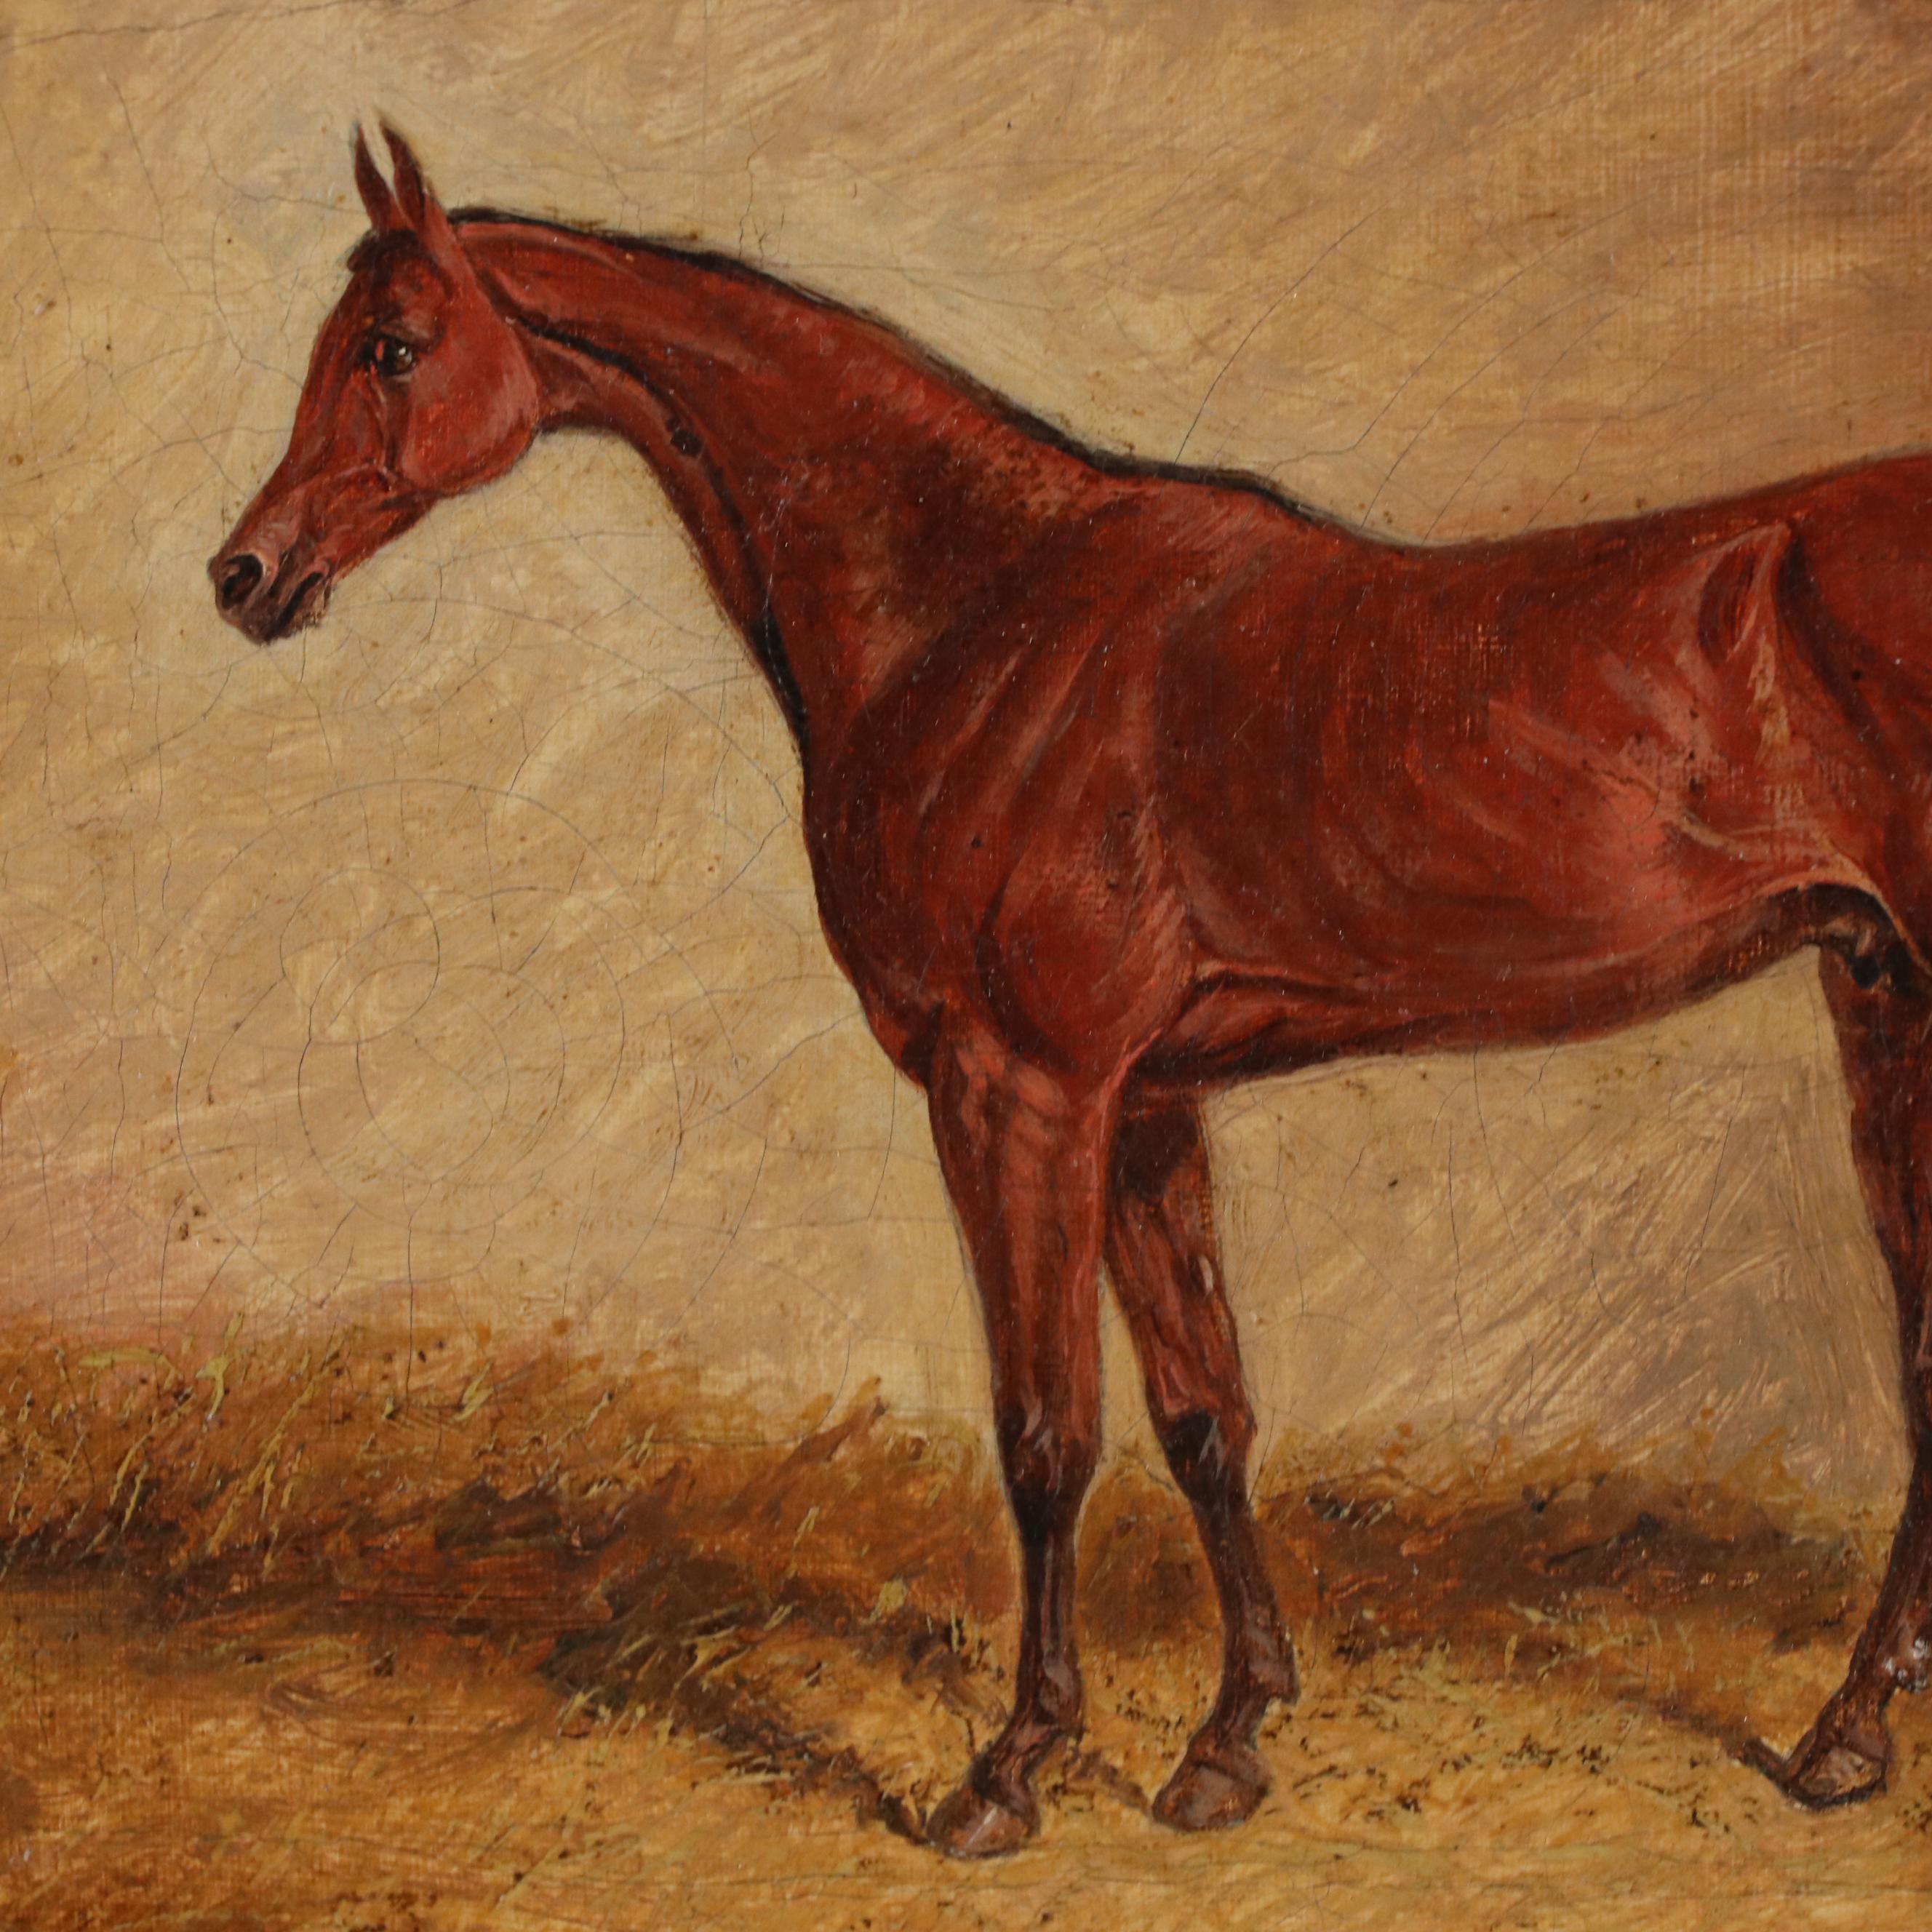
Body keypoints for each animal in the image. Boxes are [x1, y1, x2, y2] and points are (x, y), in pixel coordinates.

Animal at [210, 128, 1932, 1856]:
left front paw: (1011, 1766)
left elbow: (1046, 1430)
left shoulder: (1019, 1083)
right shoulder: (1149, 1097)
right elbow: (1203, 1412)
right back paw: (1848, 1730)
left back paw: (1842, 1732)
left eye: (392, 346)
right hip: (1880, 1002)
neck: (983, 601)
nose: (245, 573)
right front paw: (1231, 1737)